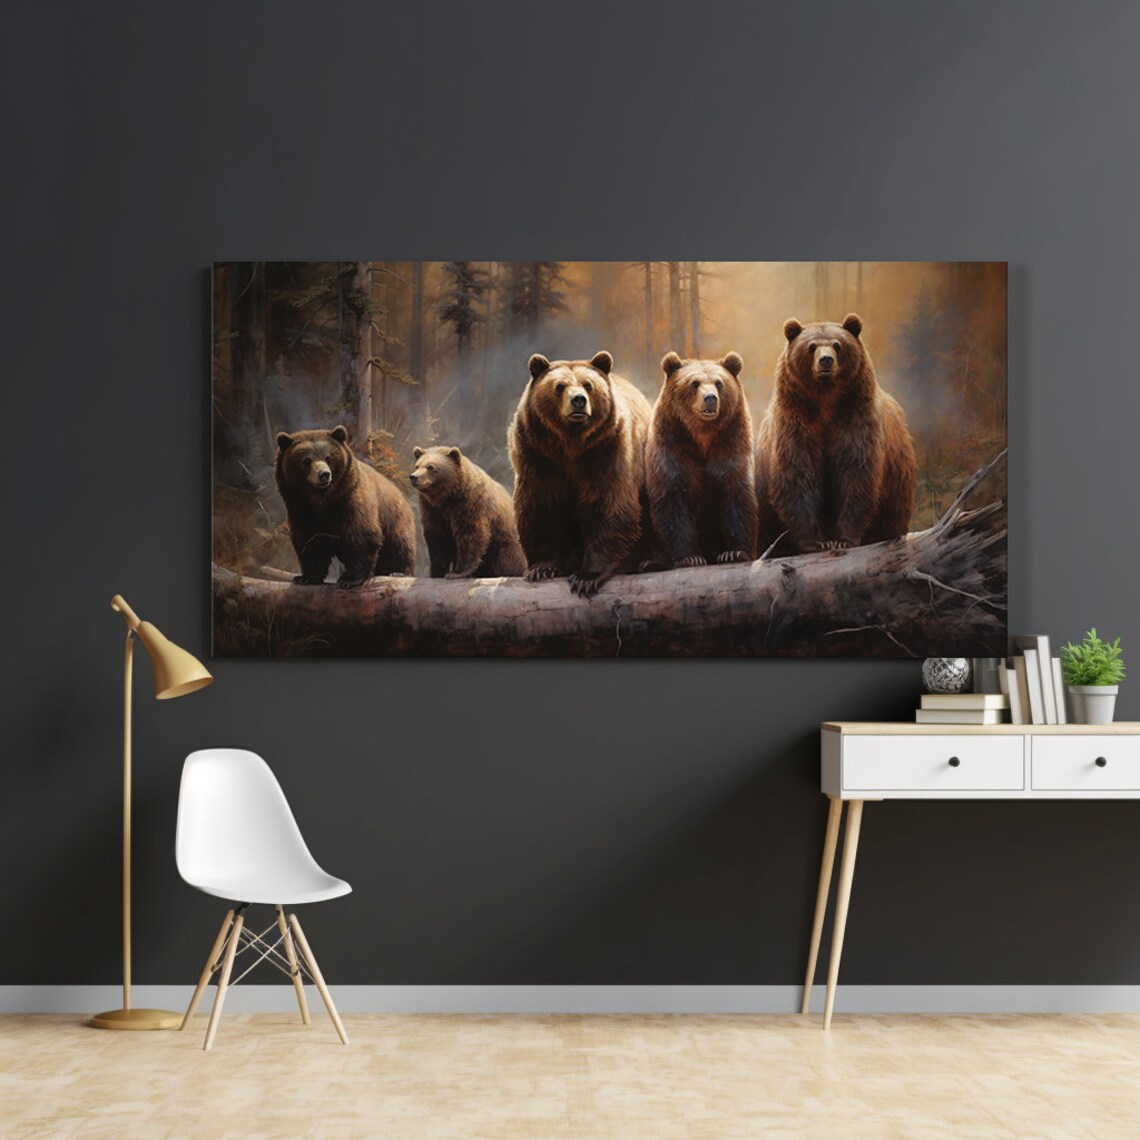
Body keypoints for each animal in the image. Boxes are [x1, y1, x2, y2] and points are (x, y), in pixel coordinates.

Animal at [274, 425, 416, 587]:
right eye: (307, 460)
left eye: (328, 458)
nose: (324, 474)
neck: (322, 498)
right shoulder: (299, 506)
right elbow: (308, 540)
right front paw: (306, 577)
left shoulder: (351, 499)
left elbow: (362, 534)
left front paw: (350, 579)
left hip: (395, 519)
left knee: (400, 546)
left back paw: (399, 572)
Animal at [409, 445, 527, 579]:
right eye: (417, 465)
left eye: (431, 467)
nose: (414, 477)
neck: (447, 497)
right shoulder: (432, 510)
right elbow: (437, 539)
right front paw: (437, 572)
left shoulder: (470, 504)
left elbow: (470, 534)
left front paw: (457, 573)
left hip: (506, 542)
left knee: (507, 557)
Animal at [508, 350, 655, 598]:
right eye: (559, 386)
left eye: (588, 385)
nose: (578, 400)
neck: (571, 443)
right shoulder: (537, 455)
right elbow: (541, 506)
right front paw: (542, 568)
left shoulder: (606, 450)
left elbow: (609, 504)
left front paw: (586, 577)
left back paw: (649, 561)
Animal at [646, 350, 758, 568]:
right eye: (694, 383)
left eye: (719, 383)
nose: (710, 398)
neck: (703, 436)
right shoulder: (673, 448)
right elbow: (674, 500)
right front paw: (690, 557)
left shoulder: (730, 445)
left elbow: (736, 496)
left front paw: (734, 553)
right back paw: (650, 563)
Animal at [754, 314, 917, 556]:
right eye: (811, 346)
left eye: (837, 345)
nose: (826, 361)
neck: (826, 402)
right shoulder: (796, 423)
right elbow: (797, 476)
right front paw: (815, 542)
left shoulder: (855, 420)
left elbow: (855, 475)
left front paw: (842, 539)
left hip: (898, 481)